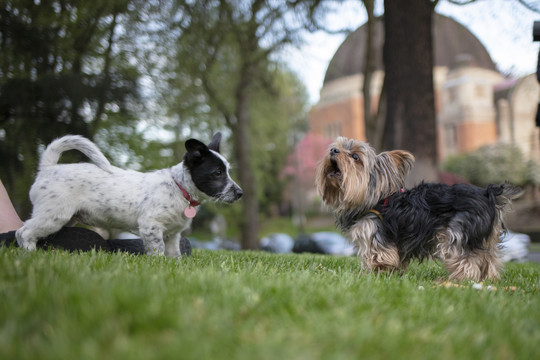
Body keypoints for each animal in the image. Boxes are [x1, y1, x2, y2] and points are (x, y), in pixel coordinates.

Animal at [16, 134, 243, 258]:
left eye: (228, 171)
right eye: (217, 173)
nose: (240, 193)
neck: (179, 188)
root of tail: (48, 169)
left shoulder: (173, 235)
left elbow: (174, 254)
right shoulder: (151, 226)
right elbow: (157, 250)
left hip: (64, 219)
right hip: (53, 216)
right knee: (23, 232)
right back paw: (29, 254)